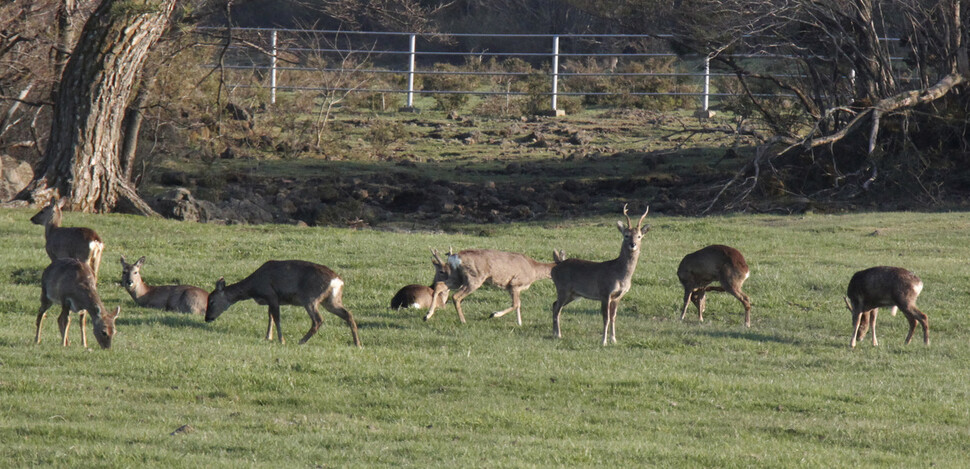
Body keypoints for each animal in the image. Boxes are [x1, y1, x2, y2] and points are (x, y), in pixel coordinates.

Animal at [204, 258, 360, 346]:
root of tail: (338, 281)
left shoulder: (271, 294)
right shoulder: (272, 299)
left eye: (211, 301)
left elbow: (277, 317)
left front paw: (281, 340)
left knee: (318, 320)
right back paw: (357, 343)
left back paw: (301, 341)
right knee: (348, 314)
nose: (207, 318)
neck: (254, 287)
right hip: (332, 300)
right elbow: (270, 317)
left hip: (310, 298)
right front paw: (268, 337)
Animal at [422, 245, 552, 326]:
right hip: (474, 278)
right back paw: (463, 321)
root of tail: (455, 257)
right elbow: (516, 304)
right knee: (456, 296)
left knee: (439, 285)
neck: (534, 269)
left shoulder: (512, 288)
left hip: (457, 277)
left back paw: (427, 315)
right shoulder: (515, 284)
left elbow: (518, 305)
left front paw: (519, 323)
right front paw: (493, 314)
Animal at [552, 204, 652, 344]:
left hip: (573, 294)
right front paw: (603, 341)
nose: (633, 245)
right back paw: (558, 335)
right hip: (563, 288)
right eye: (626, 235)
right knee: (557, 308)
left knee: (554, 304)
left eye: (639, 236)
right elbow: (606, 318)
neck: (620, 274)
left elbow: (613, 317)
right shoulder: (605, 292)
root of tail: (556, 266)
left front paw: (613, 340)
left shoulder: (618, 296)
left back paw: (554, 333)